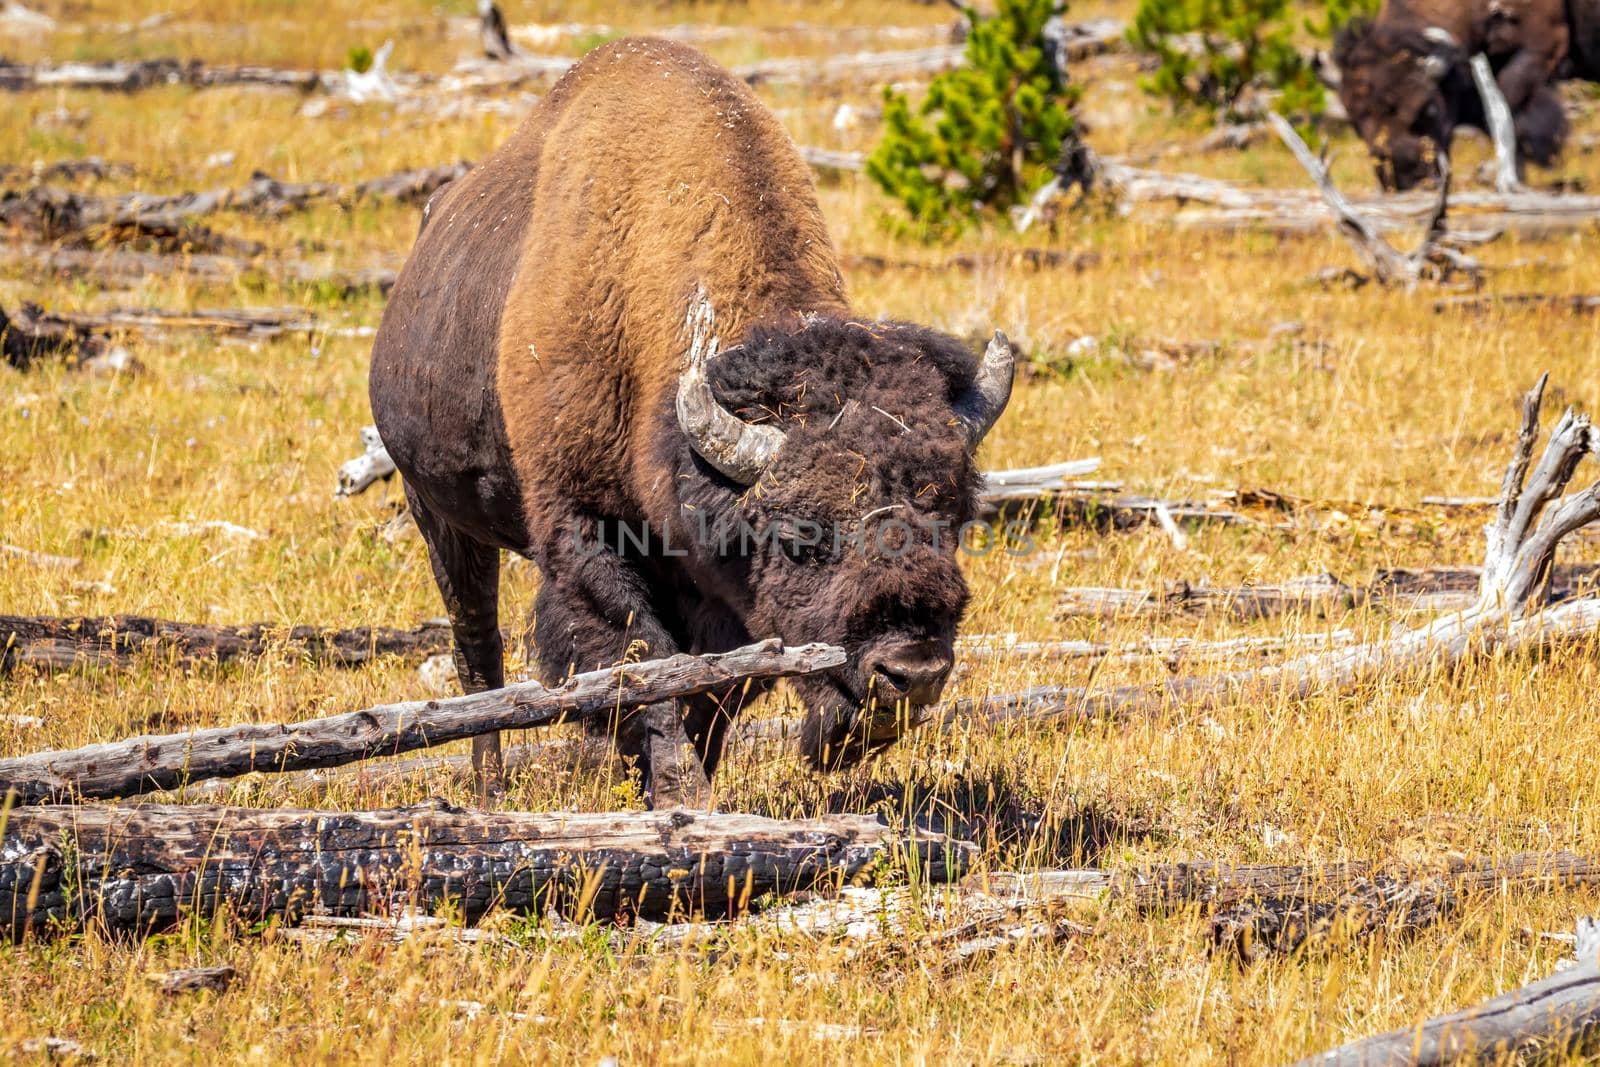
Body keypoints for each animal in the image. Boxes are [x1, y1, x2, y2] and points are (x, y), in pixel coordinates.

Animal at [366, 39, 1011, 809]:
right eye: (799, 535)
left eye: (954, 518)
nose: (912, 673)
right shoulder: (584, 534)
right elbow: (647, 665)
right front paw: (682, 796)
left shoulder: (723, 598)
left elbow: (712, 689)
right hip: (436, 510)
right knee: (477, 649)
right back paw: (490, 789)